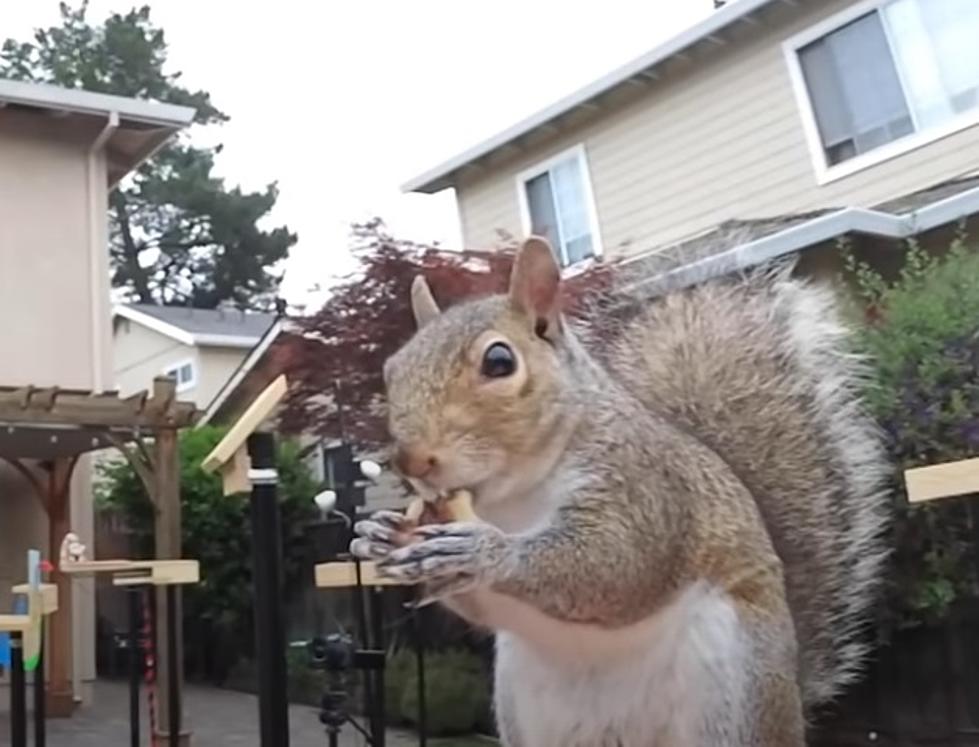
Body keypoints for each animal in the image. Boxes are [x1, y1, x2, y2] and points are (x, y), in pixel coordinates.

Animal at [354, 237, 896, 744]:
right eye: (391, 369)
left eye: (500, 361)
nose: (411, 460)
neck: (513, 498)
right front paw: (375, 534)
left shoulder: (644, 487)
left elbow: (615, 563)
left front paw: (486, 552)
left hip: (734, 698)